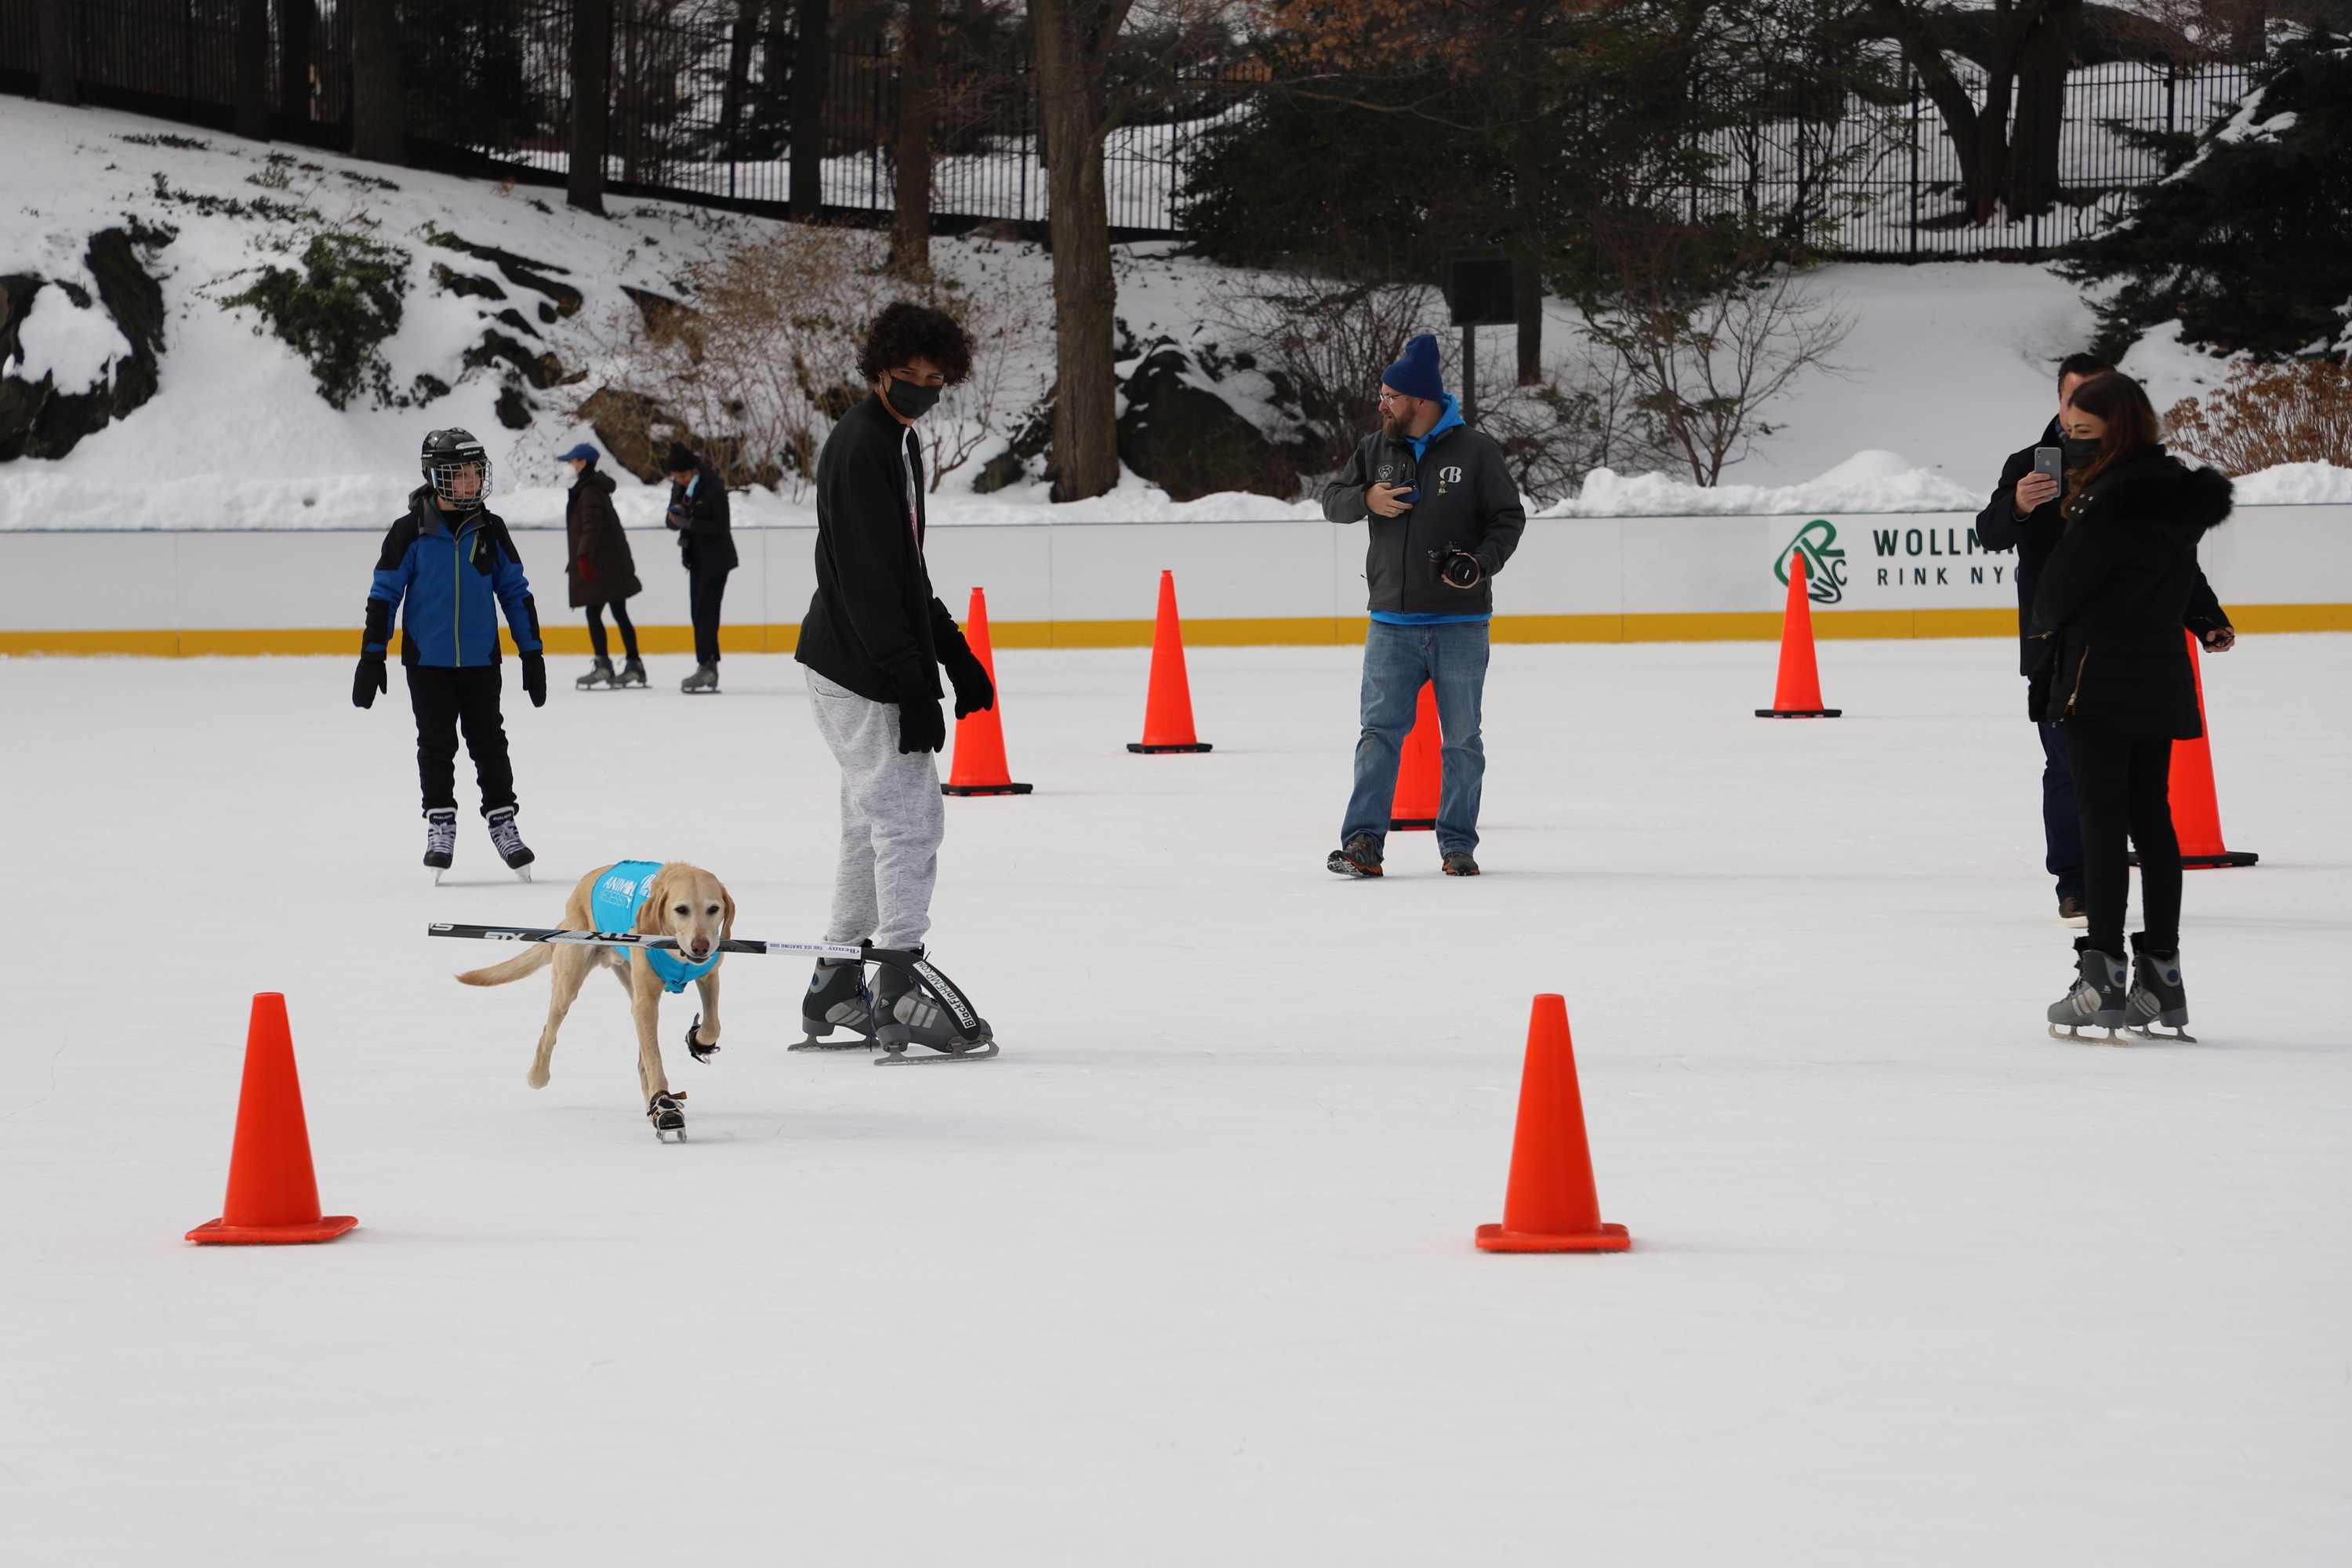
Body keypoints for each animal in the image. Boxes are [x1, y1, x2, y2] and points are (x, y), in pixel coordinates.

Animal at [456, 860, 734, 1142]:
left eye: (714, 909)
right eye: (681, 910)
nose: (701, 946)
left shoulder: (709, 976)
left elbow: (712, 1026)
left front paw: (697, 1041)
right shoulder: (646, 1001)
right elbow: (655, 1059)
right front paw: (665, 1107)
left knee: (641, 1056)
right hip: (569, 984)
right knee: (549, 1032)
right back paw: (538, 1076)